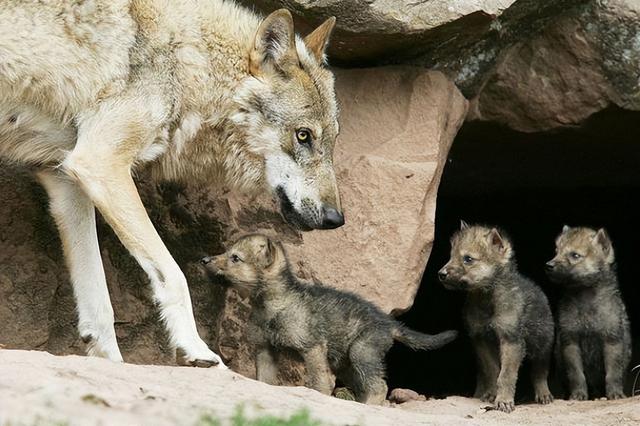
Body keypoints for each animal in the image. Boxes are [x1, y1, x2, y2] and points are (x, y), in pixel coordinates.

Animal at [0, 0, 342, 366]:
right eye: (303, 136)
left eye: (333, 140)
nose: (336, 218)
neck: (186, 62)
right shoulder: (100, 163)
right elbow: (175, 276)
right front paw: (195, 349)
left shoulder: (66, 178)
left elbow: (99, 305)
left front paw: (112, 363)